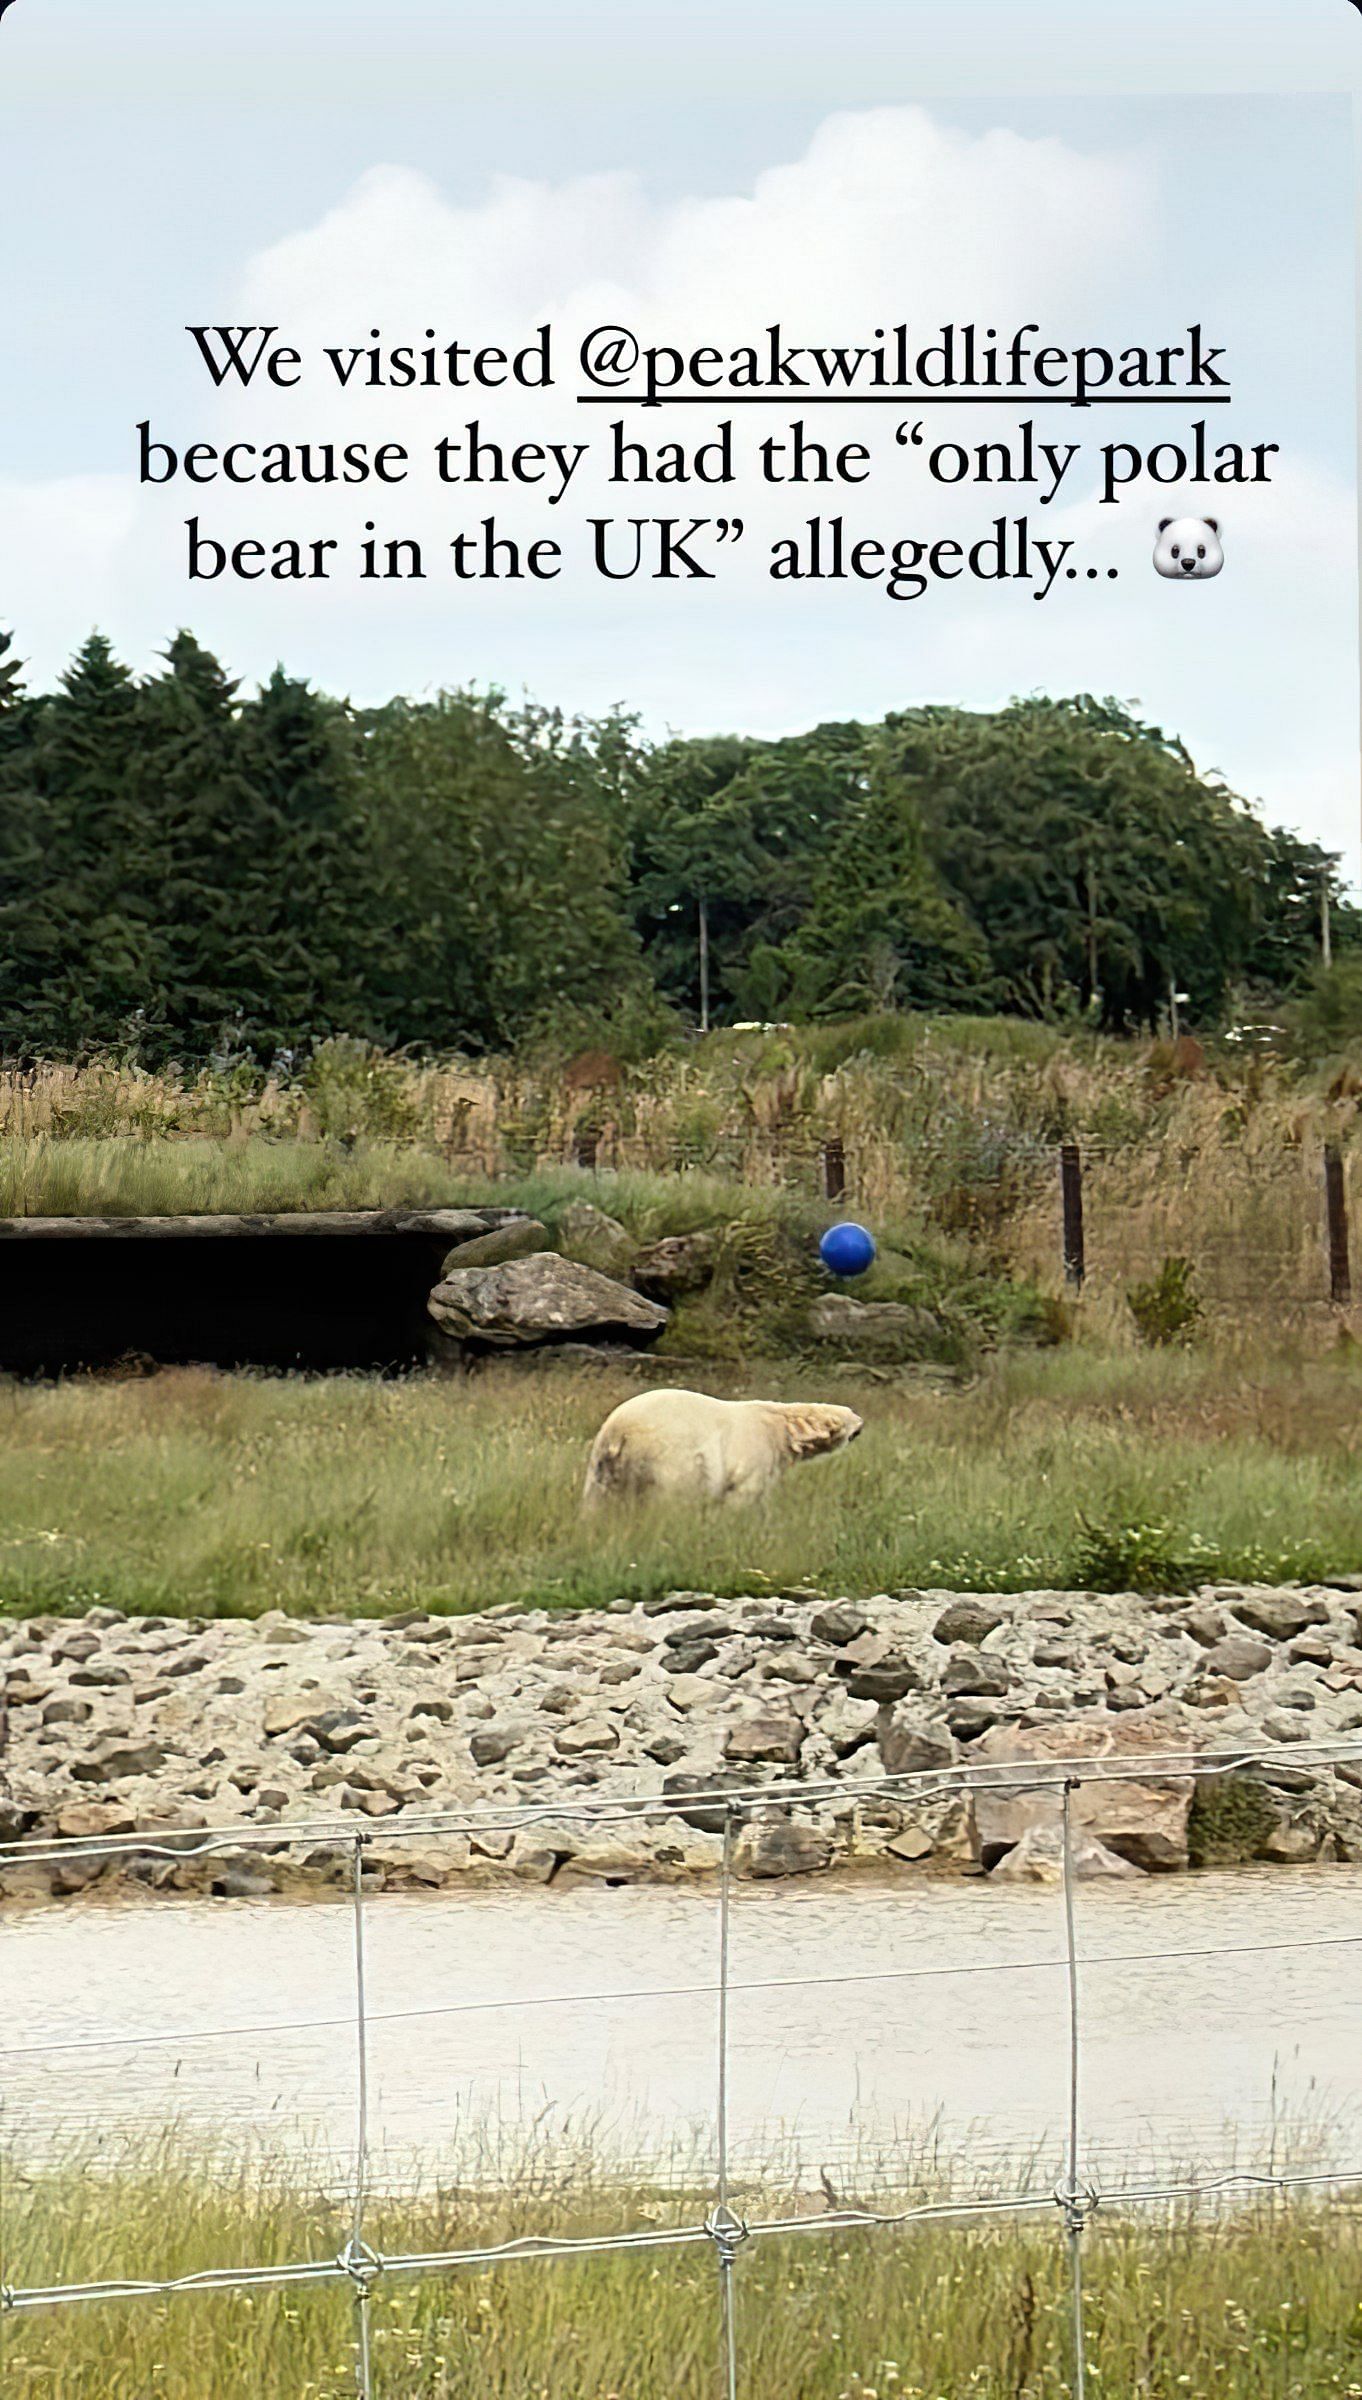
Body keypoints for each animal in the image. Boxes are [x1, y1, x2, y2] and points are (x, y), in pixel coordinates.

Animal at [582, 1392, 863, 1497]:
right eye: (851, 1412)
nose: (861, 1424)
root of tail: (617, 1431)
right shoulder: (754, 1455)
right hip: (664, 1457)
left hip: (602, 1465)